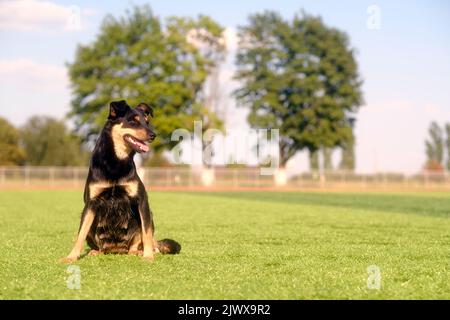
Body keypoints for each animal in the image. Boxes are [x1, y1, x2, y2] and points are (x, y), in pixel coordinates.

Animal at [61, 100, 181, 262]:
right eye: (133, 121)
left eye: (147, 122)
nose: (153, 135)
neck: (116, 162)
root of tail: (116, 249)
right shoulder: (91, 203)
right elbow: (80, 234)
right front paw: (71, 257)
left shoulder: (141, 201)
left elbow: (146, 233)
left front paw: (148, 256)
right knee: (99, 246)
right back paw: (95, 252)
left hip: (146, 217)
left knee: (139, 243)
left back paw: (140, 252)